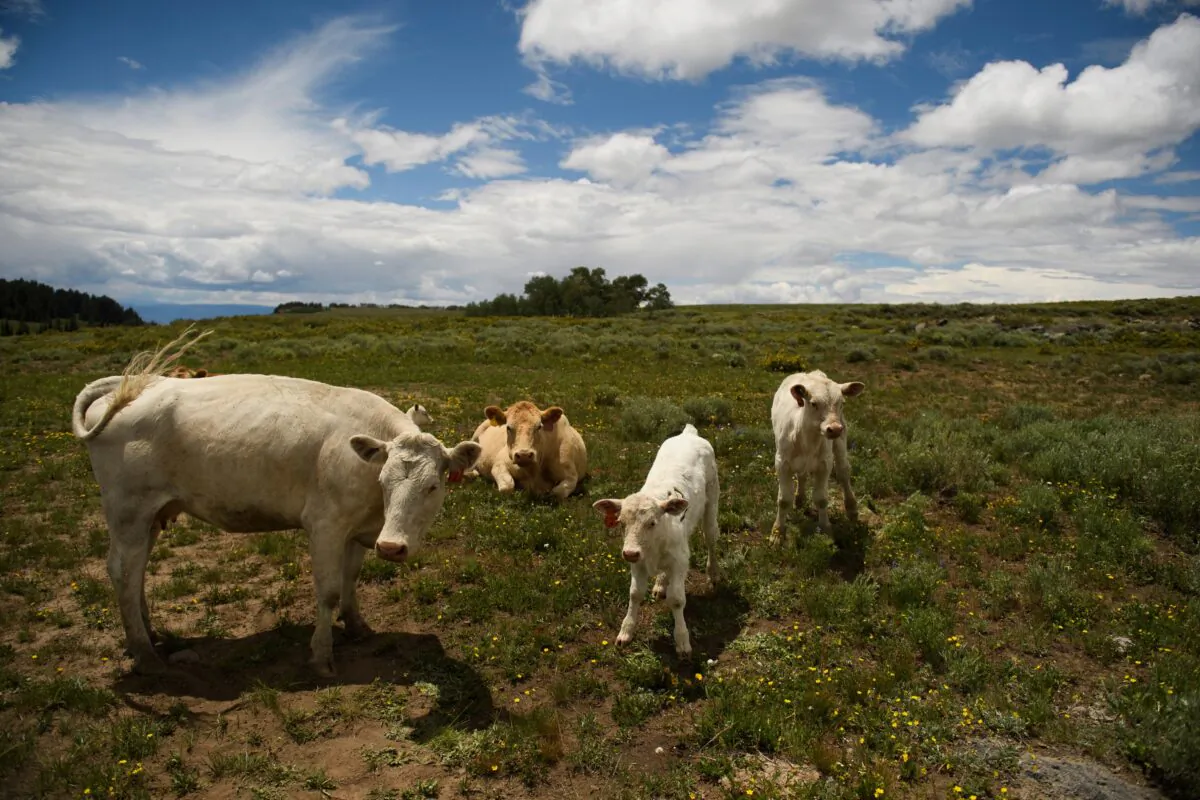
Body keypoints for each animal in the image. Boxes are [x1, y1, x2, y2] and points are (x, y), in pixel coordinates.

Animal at [72, 337, 481, 677]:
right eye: (384, 481)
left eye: (432, 486)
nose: (392, 547)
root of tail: (142, 385)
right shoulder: (325, 526)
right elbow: (329, 590)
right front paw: (321, 656)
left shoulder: (357, 530)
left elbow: (350, 579)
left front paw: (357, 626)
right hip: (128, 511)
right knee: (123, 571)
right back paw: (146, 655)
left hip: (150, 516)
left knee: (137, 570)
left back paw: (147, 636)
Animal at [591, 424, 720, 658]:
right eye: (621, 523)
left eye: (652, 522)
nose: (629, 553)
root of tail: (689, 433)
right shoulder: (638, 562)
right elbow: (634, 594)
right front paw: (626, 632)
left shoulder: (679, 561)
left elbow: (677, 600)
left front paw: (682, 641)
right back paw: (660, 583)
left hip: (712, 500)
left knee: (711, 538)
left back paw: (713, 574)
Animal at [769, 370, 865, 542]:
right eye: (813, 403)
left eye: (842, 403)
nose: (834, 429)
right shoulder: (781, 463)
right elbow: (784, 500)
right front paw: (777, 533)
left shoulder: (825, 463)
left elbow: (821, 499)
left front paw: (826, 529)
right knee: (802, 475)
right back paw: (800, 499)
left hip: (840, 441)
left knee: (843, 472)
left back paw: (852, 508)